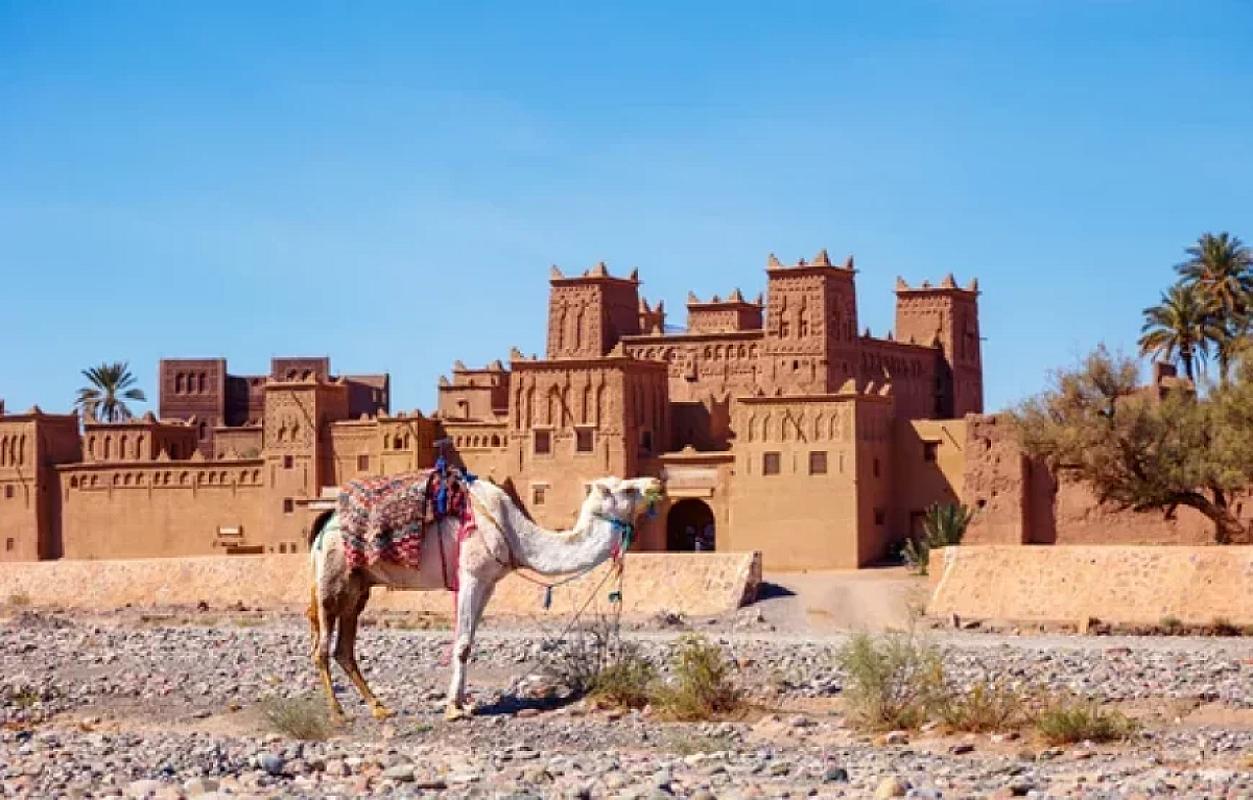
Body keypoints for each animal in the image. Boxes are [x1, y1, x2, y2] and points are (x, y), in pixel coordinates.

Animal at [307, 474, 663, 721]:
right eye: (627, 489)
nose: (657, 483)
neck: (514, 534)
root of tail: (324, 526)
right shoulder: (472, 575)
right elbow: (463, 644)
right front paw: (454, 708)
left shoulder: (489, 583)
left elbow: (469, 640)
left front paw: (463, 702)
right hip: (332, 578)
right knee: (322, 647)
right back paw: (338, 712)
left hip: (358, 588)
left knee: (343, 649)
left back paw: (380, 708)